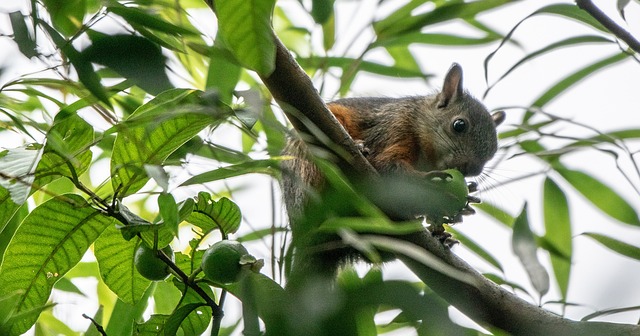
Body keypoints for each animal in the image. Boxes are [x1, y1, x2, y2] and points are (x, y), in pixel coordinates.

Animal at [280, 63, 504, 276]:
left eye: (494, 150)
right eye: (459, 125)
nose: (471, 168)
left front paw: (464, 205)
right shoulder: (395, 127)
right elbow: (387, 166)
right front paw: (432, 189)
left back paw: (440, 238)